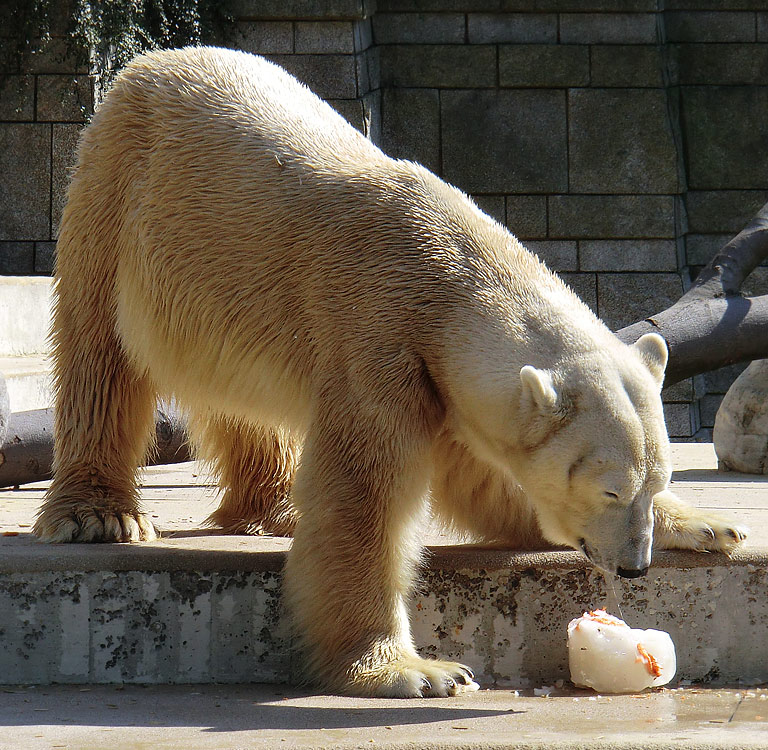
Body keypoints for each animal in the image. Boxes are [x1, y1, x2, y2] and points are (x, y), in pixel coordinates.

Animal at [34, 48, 744, 700]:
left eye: (655, 483)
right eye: (608, 491)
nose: (634, 569)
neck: (449, 276)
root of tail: (151, 62)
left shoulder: (437, 374)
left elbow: (482, 478)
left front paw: (708, 526)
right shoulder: (377, 337)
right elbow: (364, 498)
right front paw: (415, 670)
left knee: (242, 399)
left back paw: (275, 509)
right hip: (118, 197)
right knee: (100, 355)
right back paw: (100, 514)